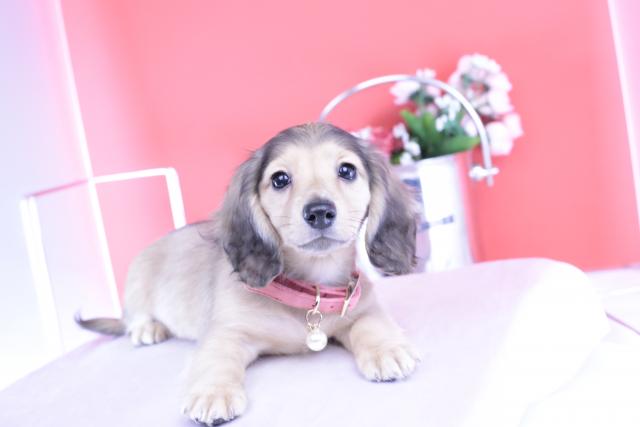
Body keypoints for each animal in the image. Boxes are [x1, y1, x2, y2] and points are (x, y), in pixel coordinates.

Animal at [78, 123, 420, 426]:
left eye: (347, 170)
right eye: (280, 178)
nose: (319, 211)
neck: (308, 292)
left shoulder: (362, 307)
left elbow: (371, 324)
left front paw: (387, 350)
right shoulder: (227, 332)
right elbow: (217, 360)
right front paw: (213, 393)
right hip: (137, 282)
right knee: (133, 318)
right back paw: (148, 328)